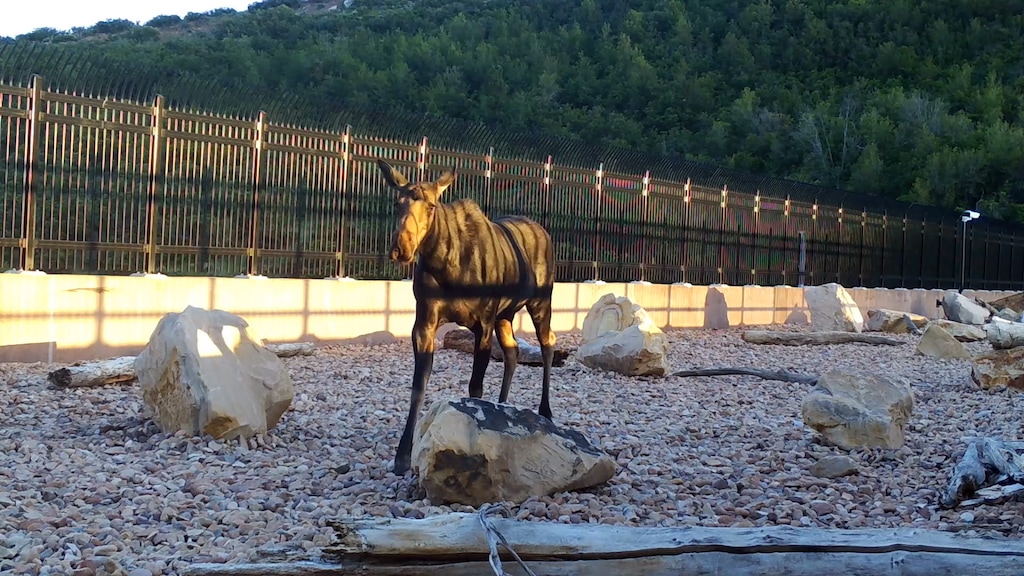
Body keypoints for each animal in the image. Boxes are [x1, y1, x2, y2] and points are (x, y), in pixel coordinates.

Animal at [376, 158, 557, 475]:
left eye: (432, 205)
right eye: (397, 203)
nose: (401, 248)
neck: (447, 265)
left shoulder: (482, 322)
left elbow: (475, 386)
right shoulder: (424, 323)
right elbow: (418, 386)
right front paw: (402, 455)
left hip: (540, 302)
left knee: (548, 343)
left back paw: (545, 410)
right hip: (505, 315)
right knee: (512, 351)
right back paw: (503, 406)